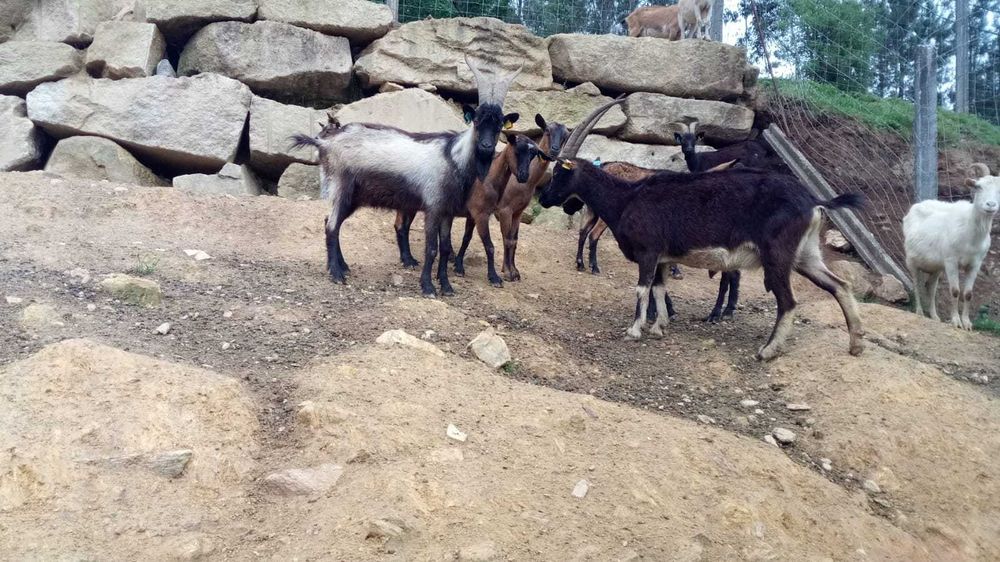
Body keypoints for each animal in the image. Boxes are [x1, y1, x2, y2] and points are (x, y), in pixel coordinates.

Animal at [290, 56, 520, 297]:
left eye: (498, 125)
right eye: (476, 122)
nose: (486, 147)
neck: (452, 157)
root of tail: (324, 143)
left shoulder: (447, 211)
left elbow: (445, 248)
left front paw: (446, 286)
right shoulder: (433, 208)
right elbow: (431, 249)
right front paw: (428, 287)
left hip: (352, 197)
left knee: (332, 221)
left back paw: (342, 266)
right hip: (340, 187)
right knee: (331, 226)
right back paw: (336, 274)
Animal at [394, 133, 547, 287]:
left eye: (533, 155)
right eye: (516, 151)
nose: (523, 176)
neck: (488, 180)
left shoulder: (472, 216)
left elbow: (466, 239)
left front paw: (458, 266)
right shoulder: (481, 215)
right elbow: (490, 246)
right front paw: (494, 277)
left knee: (401, 225)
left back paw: (407, 259)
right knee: (402, 226)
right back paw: (408, 260)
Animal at [539, 98, 866, 361]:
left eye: (557, 173)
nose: (543, 199)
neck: (627, 197)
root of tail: (813, 200)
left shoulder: (648, 252)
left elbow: (643, 288)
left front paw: (634, 330)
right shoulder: (664, 258)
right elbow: (660, 288)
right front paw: (659, 327)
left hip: (777, 256)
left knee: (788, 301)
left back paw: (768, 350)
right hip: (806, 255)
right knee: (840, 285)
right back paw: (856, 344)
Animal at [903, 163, 1000, 329]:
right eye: (978, 186)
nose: (991, 205)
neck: (970, 235)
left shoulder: (975, 264)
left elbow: (968, 293)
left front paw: (967, 323)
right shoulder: (951, 261)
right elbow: (955, 291)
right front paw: (956, 321)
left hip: (935, 267)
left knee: (930, 287)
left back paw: (935, 316)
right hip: (912, 261)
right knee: (916, 284)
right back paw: (920, 312)